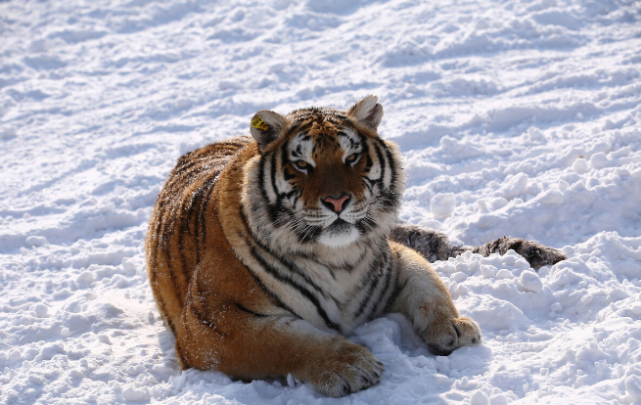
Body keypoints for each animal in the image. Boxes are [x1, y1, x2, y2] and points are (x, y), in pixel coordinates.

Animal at [146, 94, 564, 394]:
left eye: (352, 158)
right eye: (303, 165)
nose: (337, 201)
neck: (337, 257)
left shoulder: (394, 259)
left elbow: (431, 288)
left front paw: (454, 327)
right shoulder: (209, 324)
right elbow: (284, 339)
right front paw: (351, 365)